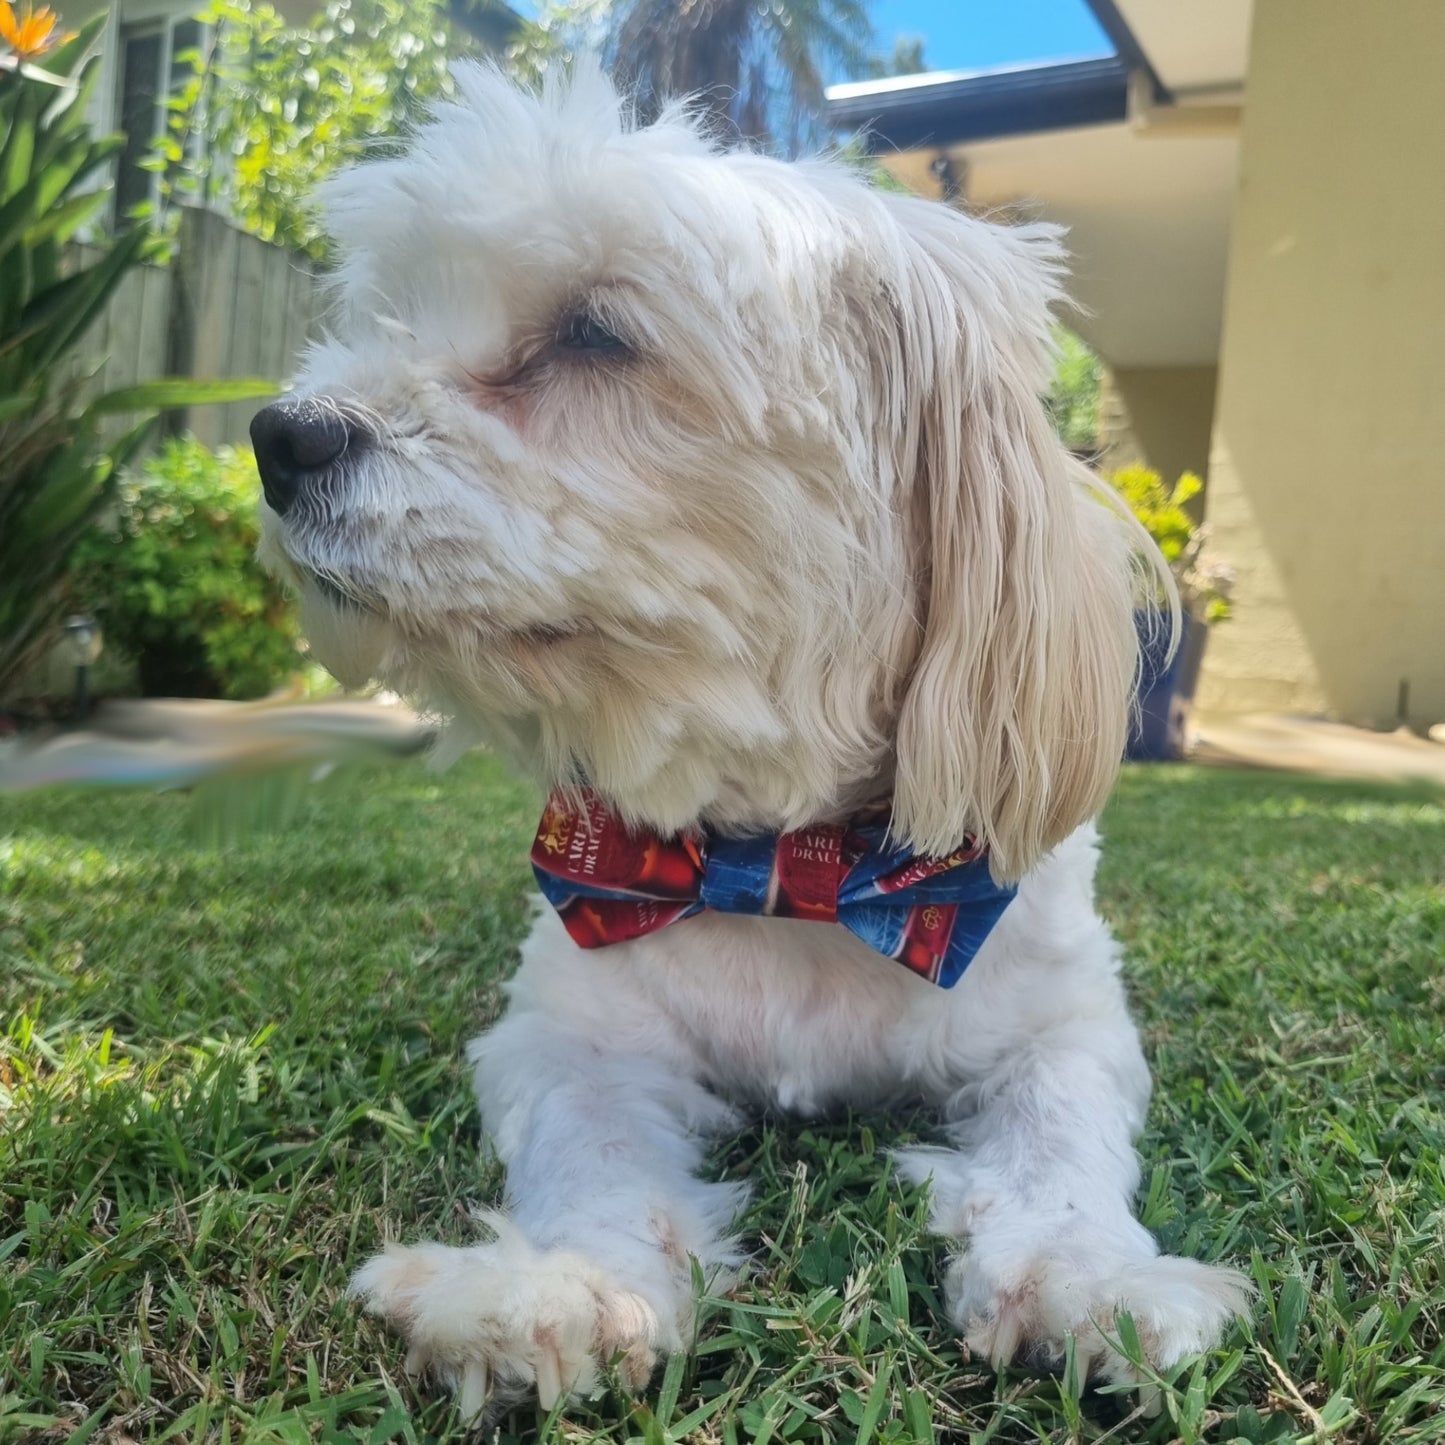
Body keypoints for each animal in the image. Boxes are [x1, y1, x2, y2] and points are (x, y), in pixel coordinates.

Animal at [254, 62, 1248, 1416]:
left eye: (595, 334)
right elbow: (591, 1144)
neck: (786, 865)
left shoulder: (1061, 1016)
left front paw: (1084, 1272)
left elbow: (1059, 1137)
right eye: (393, 315)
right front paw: (565, 1283)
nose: (279, 432)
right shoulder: (570, 1027)